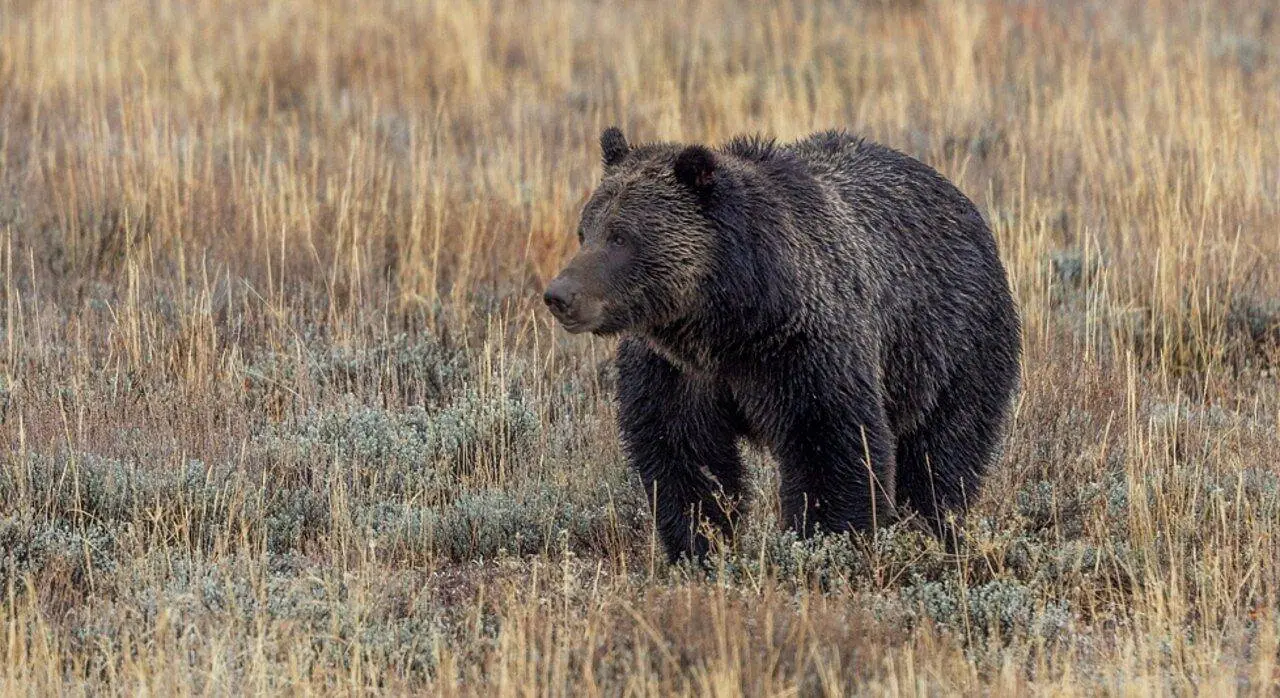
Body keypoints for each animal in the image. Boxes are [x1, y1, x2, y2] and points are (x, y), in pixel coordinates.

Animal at [544, 127, 1021, 563]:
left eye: (620, 236)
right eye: (584, 231)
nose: (560, 294)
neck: (725, 320)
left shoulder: (804, 347)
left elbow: (832, 445)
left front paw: (826, 541)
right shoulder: (676, 369)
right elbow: (683, 454)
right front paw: (700, 543)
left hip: (953, 343)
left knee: (942, 453)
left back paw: (932, 531)